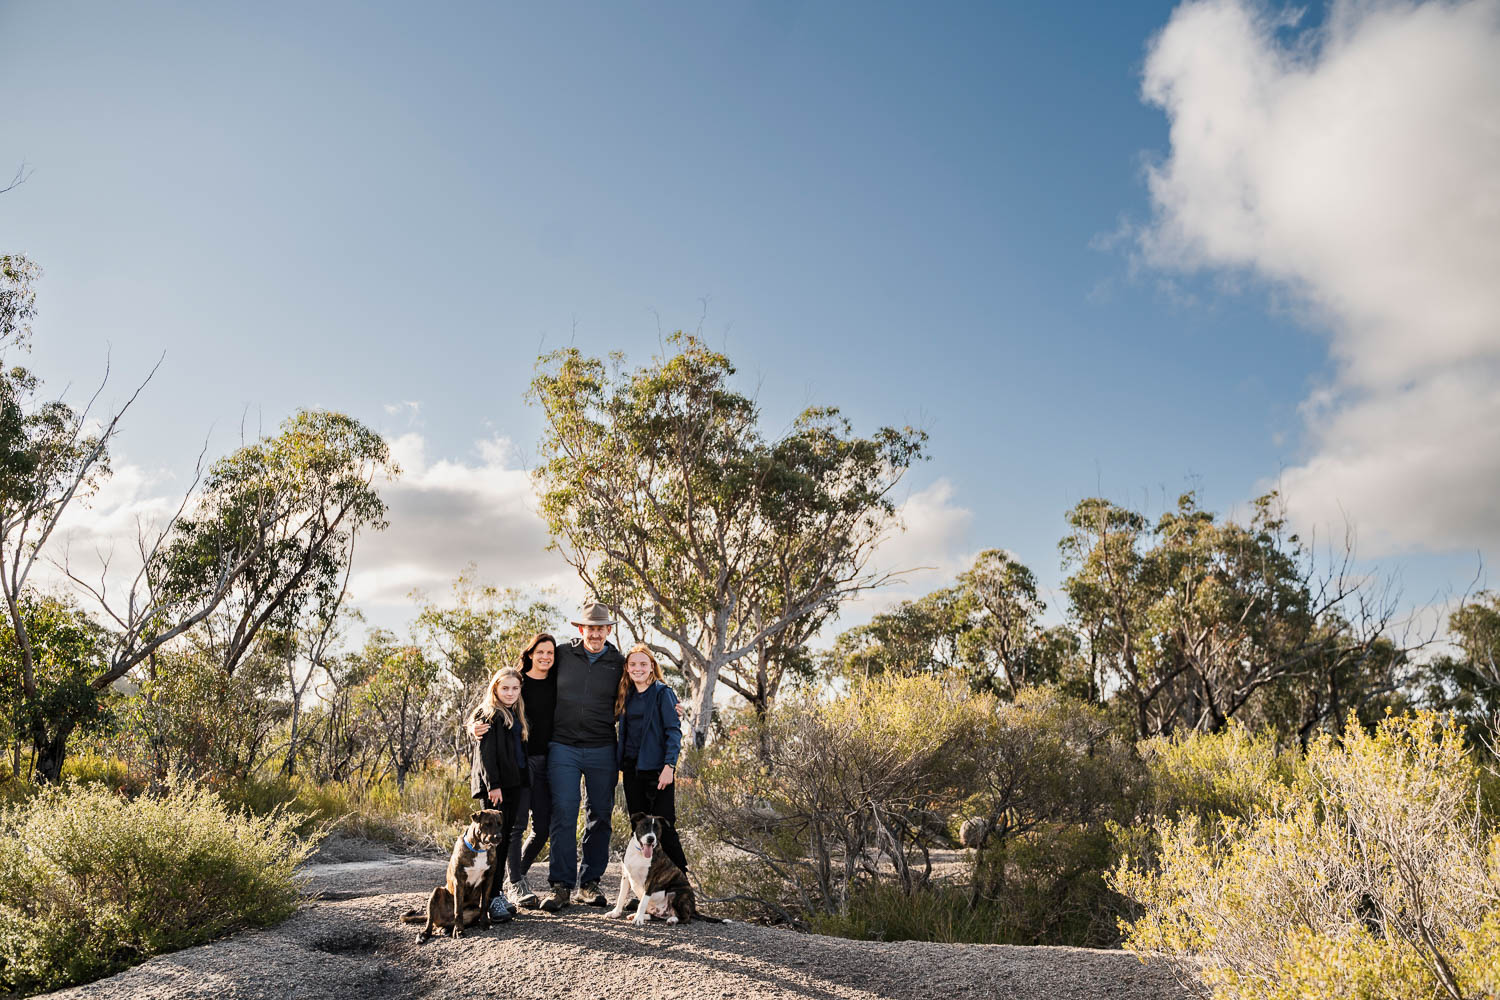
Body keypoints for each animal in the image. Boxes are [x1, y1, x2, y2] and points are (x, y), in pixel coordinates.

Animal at [402, 809, 507, 941]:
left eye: (499, 824)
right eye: (487, 824)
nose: (499, 837)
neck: (479, 850)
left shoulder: (488, 879)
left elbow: (484, 904)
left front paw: (484, 923)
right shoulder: (459, 882)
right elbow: (458, 909)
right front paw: (459, 930)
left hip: (474, 911)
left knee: (448, 923)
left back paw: (446, 929)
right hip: (436, 893)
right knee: (430, 921)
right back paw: (425, 934)